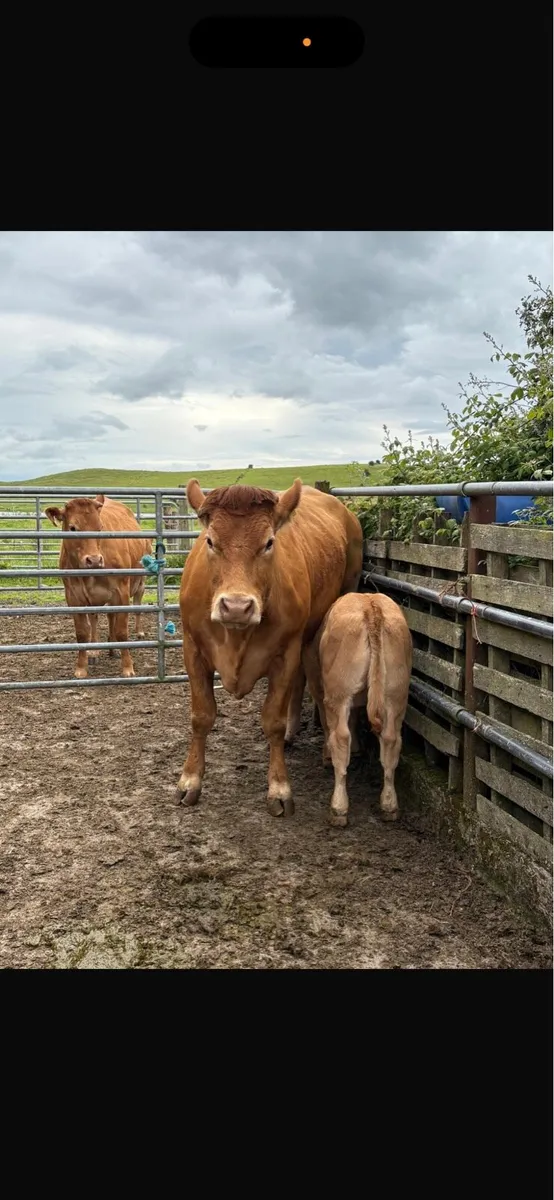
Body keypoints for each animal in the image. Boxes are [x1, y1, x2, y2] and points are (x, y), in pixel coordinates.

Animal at [44, 494, 152, 679]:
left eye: (100, 527)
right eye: (72, 528)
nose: (94, 560)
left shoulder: (121, 593)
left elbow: (122, 631)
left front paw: (127, 667)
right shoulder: (73, 597)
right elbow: (82, 633)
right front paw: (81, 667)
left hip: (138, 584)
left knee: (128, 609)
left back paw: (127, 638)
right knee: (96, 619)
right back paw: (96, 650)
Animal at [175, 479, 363, 817]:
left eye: (269, 543)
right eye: (210, 541)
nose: (236, 607)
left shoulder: (285, 652)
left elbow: (273, 721)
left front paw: (279, 787)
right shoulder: (192, 648)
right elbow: (201, 716)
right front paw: (190, 780)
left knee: (315, 687)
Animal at [302, 592, 412, 827]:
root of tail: (371, 606)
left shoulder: (319, 687)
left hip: (338, 693)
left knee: (340, 737)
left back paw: (338, 808)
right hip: (396, 694)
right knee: (391, 741)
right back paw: (389, 805)